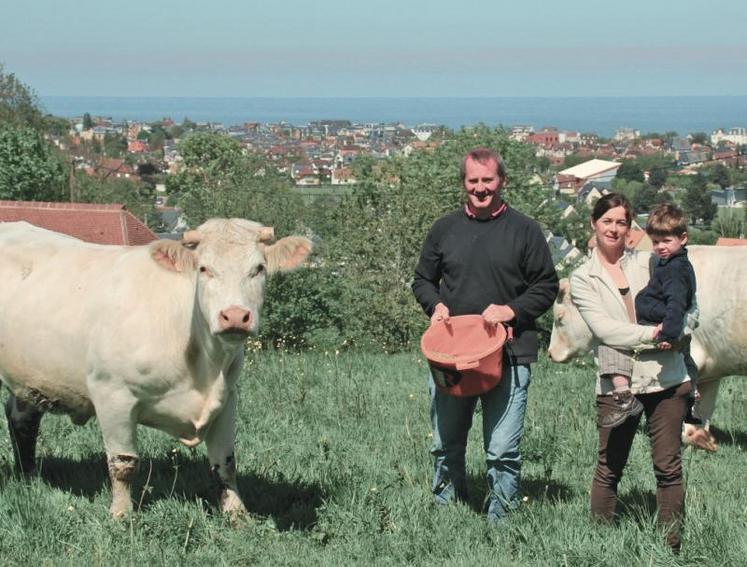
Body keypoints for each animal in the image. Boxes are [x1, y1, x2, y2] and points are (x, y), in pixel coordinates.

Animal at [0, 219, 310, 520]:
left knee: (22, 418)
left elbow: (226, 463)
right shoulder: (112, 393)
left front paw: (237, 515)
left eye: (259, 269)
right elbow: (123, 464)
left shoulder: (227, 396)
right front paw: (121, 516)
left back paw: (29, 477)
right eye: (203, 268)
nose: (234, 316)